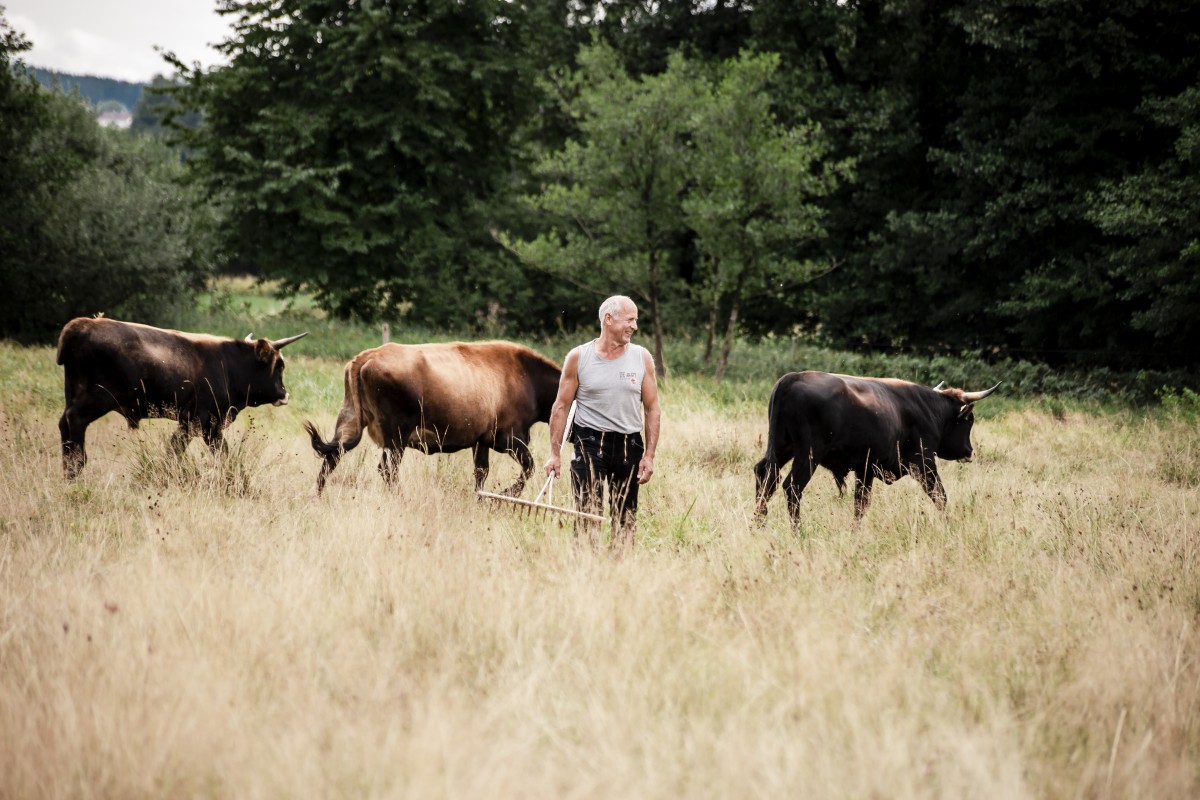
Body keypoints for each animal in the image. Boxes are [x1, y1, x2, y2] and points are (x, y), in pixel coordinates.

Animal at [58, 311, 307, 479]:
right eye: (279, 366)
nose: (284, 394)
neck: (228, 365)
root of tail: (82, 325)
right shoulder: (198, 421)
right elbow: (179, 451)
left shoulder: (205, 426)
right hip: (99, 399)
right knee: (75, 420)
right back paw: (76, 467)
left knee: (64, 424)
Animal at [300, 340, 561, 496]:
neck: (528, 379)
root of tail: (368, 356)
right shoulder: (510, 437)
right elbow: (529, 466)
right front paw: (507, 493)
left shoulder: (481, 440)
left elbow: (481, 472)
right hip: (396, 436)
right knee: (387, 469)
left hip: (350, 420)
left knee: (332, 457)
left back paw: (316, 495)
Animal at [748, 374, 1003, 527]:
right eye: (969, 420)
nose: (969, 451)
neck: (928, 410)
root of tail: (791, 379)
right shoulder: (924, 463)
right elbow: (940, 496)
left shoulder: (865, 469)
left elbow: (860, 505)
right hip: (808, 455)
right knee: (791, 487)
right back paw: (797, 531)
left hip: (781, 448)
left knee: (766, 476)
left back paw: (758, 523)